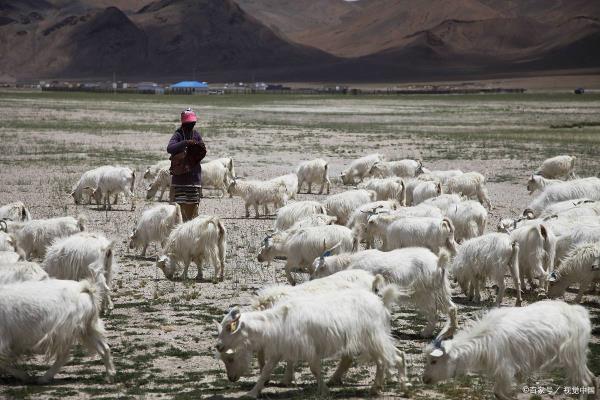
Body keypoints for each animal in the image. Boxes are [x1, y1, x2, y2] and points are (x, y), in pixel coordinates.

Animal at [216, 290, 408, 398]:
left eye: (228, 327)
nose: (218, 346)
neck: (276, 322)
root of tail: (381, 303)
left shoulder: (309, 348)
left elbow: (314, 369)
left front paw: (324, 391)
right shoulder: (279, 350)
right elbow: (265, 372)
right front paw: (252, 393)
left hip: (374, 337)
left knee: (395, 357)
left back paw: (403, 387)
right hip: (374, 339)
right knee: (386, 359)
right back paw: (377, 388)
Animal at [312, 248, 458, 340]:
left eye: (317, 270)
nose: (312, 280)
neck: (348, 264)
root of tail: (439, 262)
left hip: (427, 293)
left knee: (438, 311)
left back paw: (430, 333)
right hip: (439, 291)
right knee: (449, 308)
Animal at [424, 302, 592, 398]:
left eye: (434, 360)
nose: (424, 379)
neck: (485, 337)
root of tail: (579, 312)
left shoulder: (505, 368)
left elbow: (499, 393)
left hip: (573, 356)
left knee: (584, 383)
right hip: (578, 358)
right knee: (591, 379)